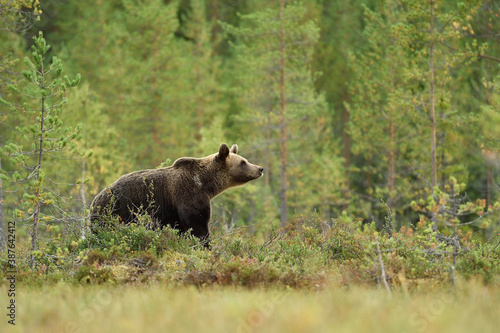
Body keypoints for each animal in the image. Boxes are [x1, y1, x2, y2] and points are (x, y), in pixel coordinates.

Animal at [90, 144, 264, 245]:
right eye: (243, 162)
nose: (260, 168)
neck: (205, 184)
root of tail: (94, 200)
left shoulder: (174, 213)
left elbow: (182, 229)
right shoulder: (188, 196)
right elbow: (197, 224)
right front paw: (205, 245)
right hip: (116, 212)